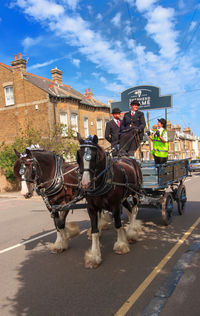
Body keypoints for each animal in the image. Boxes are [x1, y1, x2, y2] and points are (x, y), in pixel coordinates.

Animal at [76, 135, 142, 268]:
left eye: (94, 156)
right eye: (78, 156)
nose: (85, 184)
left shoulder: (115, 205)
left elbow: (117, 224)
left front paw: (121, 245)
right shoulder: (92, 208)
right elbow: (95, 230)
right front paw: (94, 256)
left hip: (135, 192)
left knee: (134, 210)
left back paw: (132, 232)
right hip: (124, 198)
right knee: (130, 210)